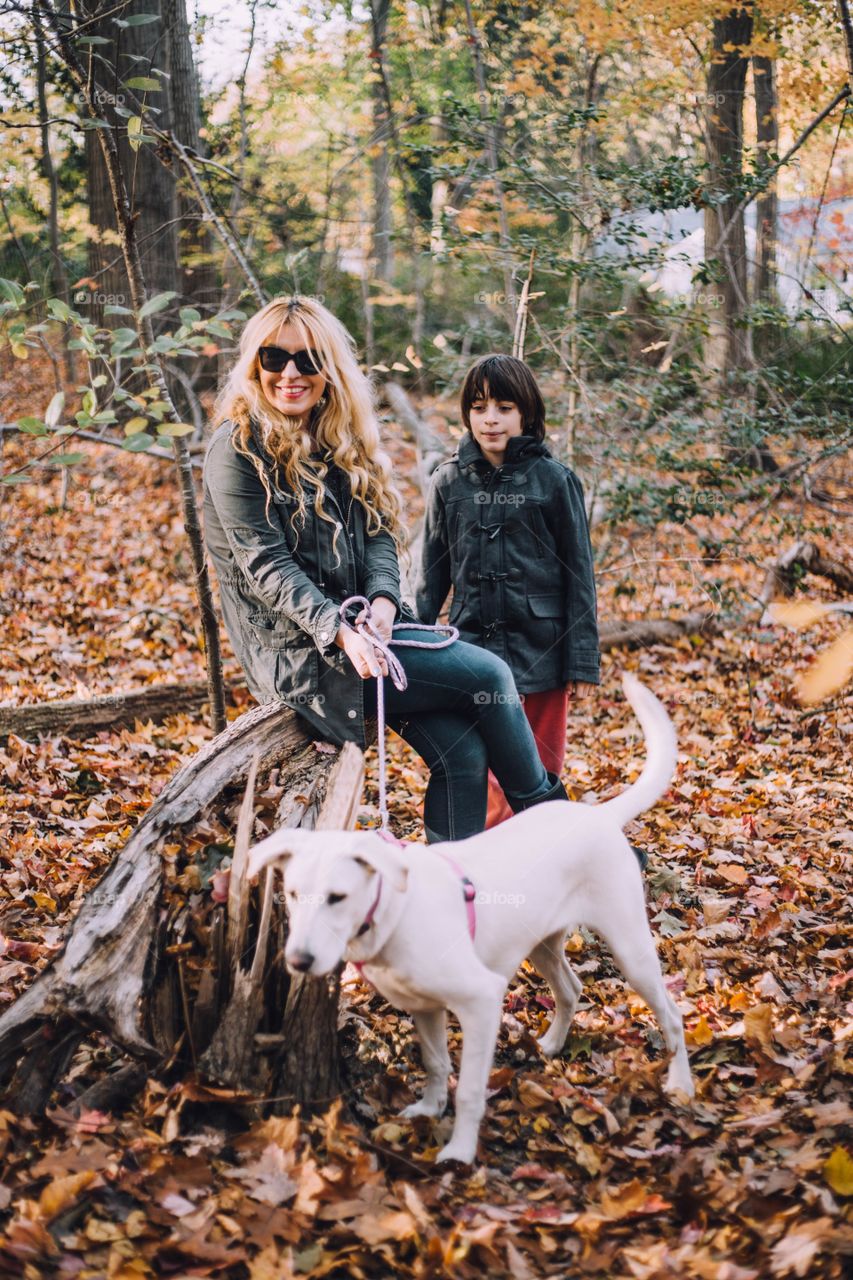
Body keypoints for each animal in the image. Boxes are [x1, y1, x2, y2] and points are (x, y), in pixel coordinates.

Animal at [244, 675, 691, 1167]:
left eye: (337, 897)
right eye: (291, 894)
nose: (299, 961)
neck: (394, 915)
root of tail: (595, 816)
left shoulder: (480, 1001)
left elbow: (471, 1089)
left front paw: (458, 1151)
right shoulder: (425, 1008)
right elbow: (436, 1064)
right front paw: (427, 1109)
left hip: (630, 948)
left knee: (671, 1014)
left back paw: (681, 1085)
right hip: (540, 943)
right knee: (571, 989)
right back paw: (552, 1045)